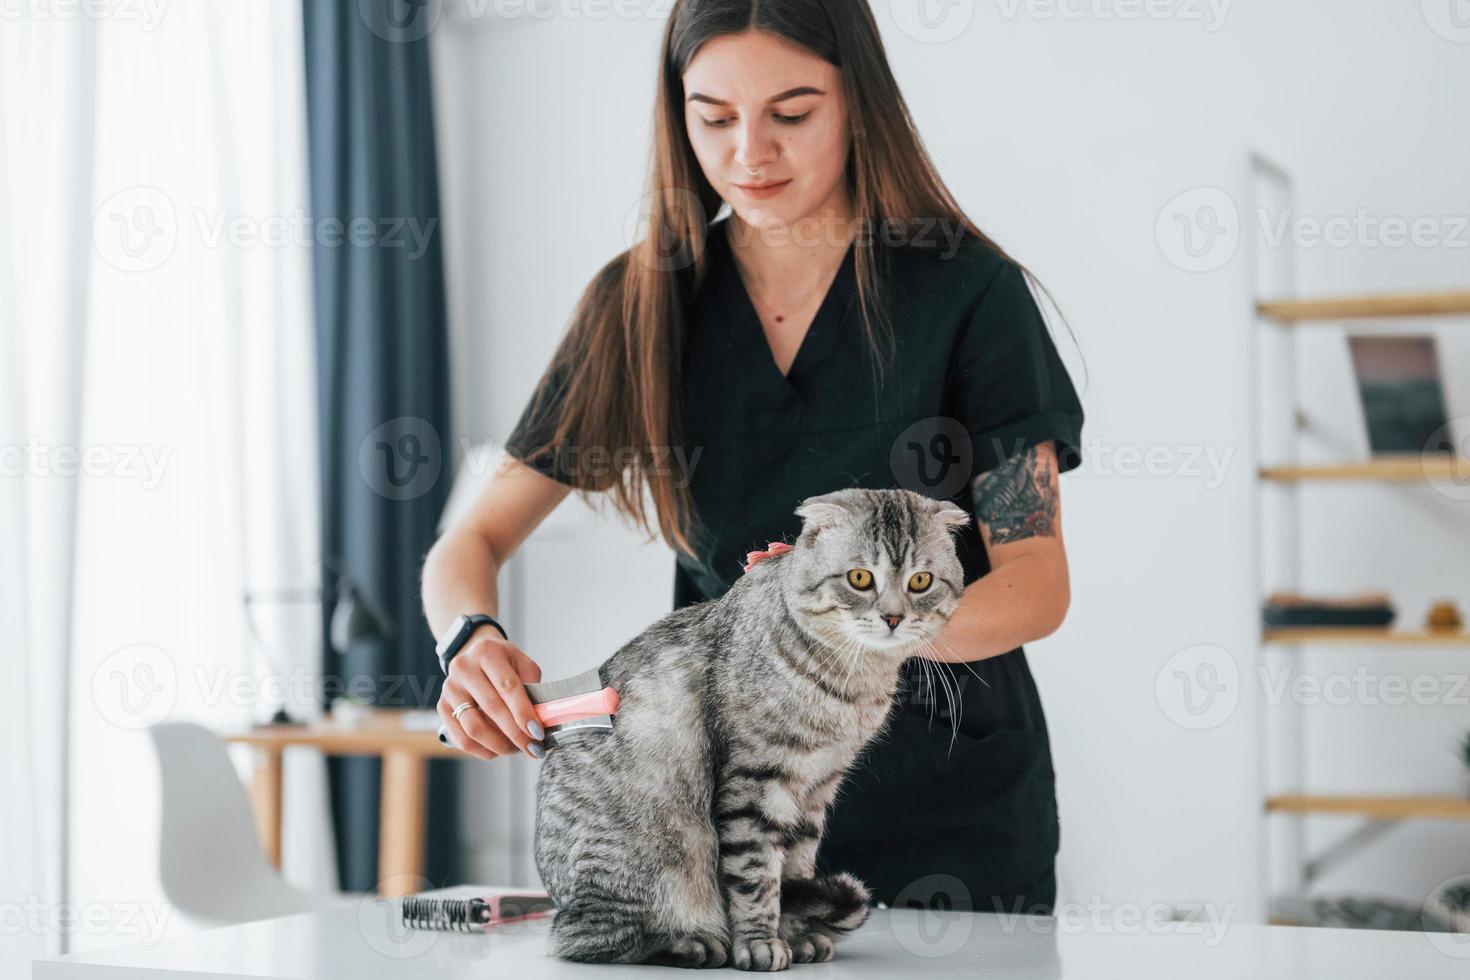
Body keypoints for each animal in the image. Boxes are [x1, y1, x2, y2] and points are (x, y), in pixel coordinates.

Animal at [535, 487, 970, 969]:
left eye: (920, 582)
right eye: (860, 578)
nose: (893, 617)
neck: (852, 686)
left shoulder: (818, 786)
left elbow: (795, 867)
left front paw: (796, 934)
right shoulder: (756, 783)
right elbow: (755, 875)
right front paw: (759, 942)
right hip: (639, 867)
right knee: (588, 939)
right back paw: (690, 943)